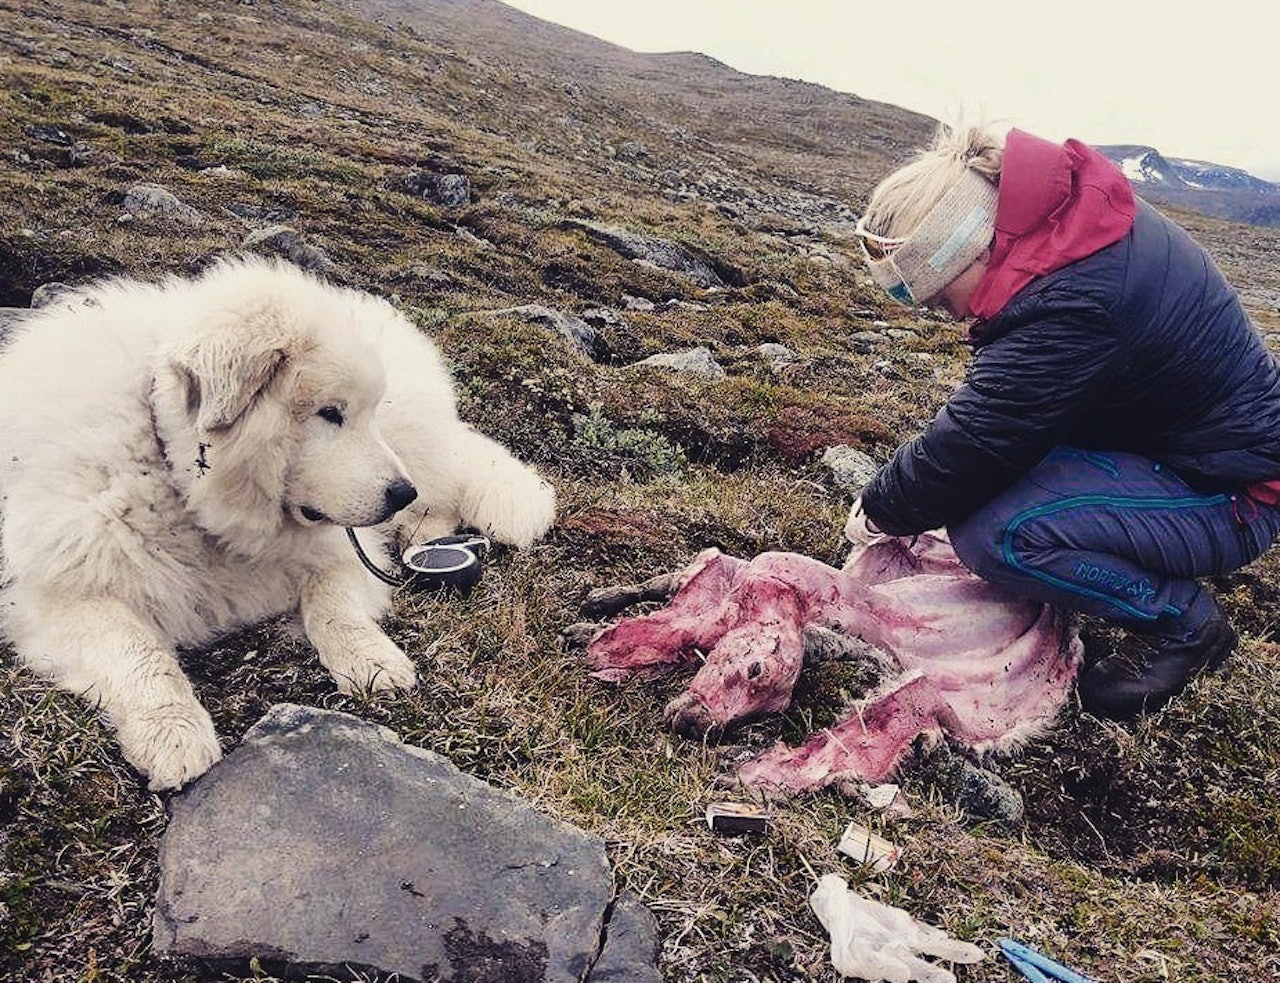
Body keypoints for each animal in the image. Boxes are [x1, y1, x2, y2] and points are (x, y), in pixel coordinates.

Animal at [0, 255, 555, 788]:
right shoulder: (65, 592)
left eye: (364, 413)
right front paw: (174, 733)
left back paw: (428, 535)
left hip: (417, 444)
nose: (401, 493)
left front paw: (371, 659)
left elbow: (334, 606)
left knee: (443, 492)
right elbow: (138, 653)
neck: (174, 476)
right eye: (330, 413)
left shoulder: (345, 549)